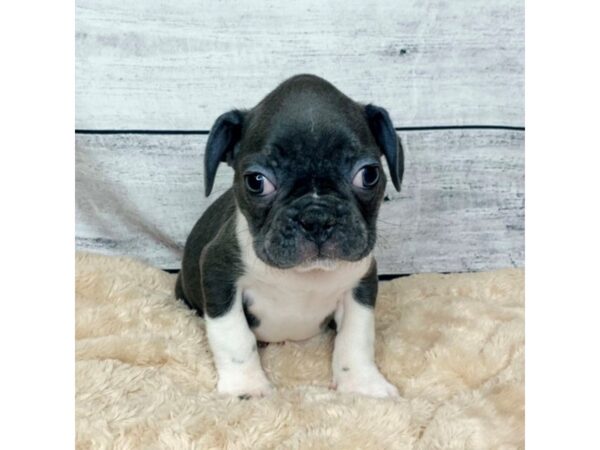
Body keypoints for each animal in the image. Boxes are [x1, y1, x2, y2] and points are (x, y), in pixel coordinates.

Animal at [176, 73, 406, 398]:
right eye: (256, 181)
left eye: (369, 174)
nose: (317, 217)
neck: (304, 276)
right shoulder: (218, 274)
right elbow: (234, 336)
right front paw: (247, 387)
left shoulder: (361, 282)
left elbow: (356, 338)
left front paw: (363, 385)